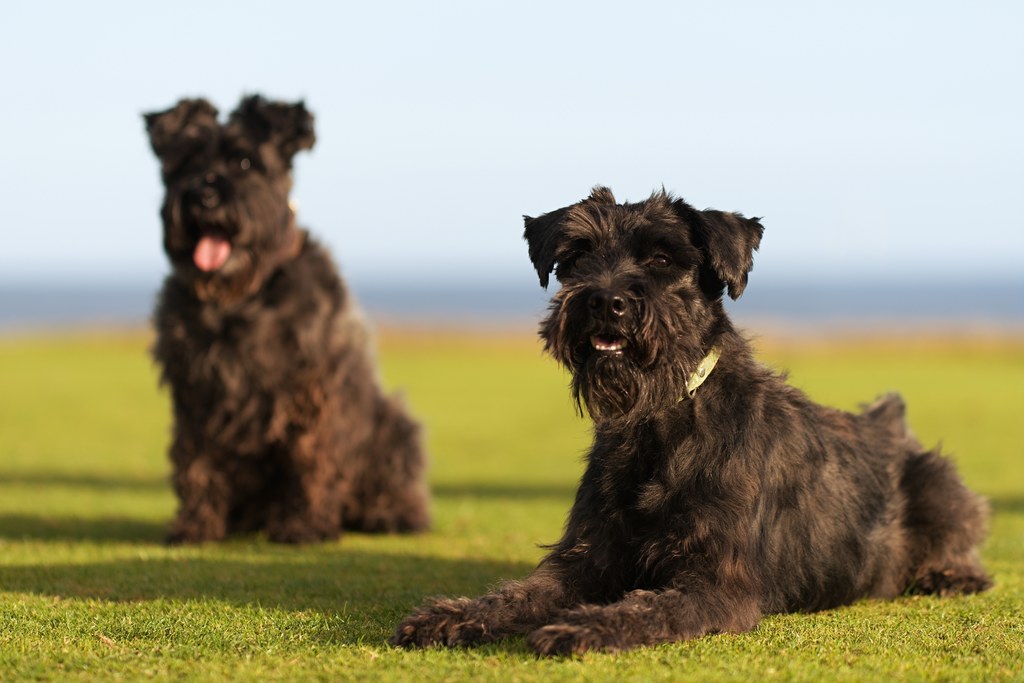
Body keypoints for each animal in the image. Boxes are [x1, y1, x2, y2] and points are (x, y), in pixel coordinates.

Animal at [142, 94, 425, 544]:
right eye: (186, 161)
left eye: (244, 162)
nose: (204, 196)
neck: (240, 296)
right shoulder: (195, 391)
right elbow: (195, 460)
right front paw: (195, 526)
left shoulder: (311, 389)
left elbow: (310, 457)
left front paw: (304, 526)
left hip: (393, 425)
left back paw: (390, 514)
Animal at [389, 184, 983, 655]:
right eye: (578, 255)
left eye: (661, 258)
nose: (605, 301)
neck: (660, 422)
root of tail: (890, 425)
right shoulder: (585, 555)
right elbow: (520, 593)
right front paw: (452, 616)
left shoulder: (717, 583)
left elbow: (644, 608)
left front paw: (583, 627)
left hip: (938, 484)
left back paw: (949, 573)